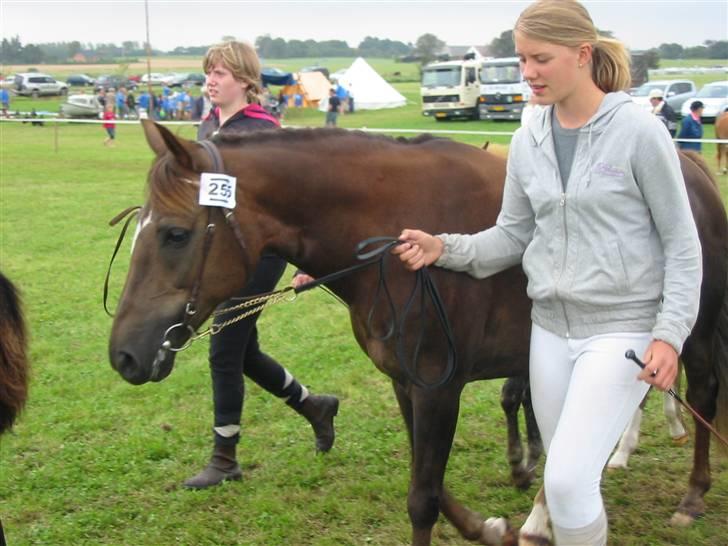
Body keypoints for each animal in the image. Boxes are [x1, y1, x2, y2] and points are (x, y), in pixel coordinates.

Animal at [108, 121, 728, 540]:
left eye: (175, 234)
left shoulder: (438, 387)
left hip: (688, 337)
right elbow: (430, 481)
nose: (124, 355)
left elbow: (422, 498)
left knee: (701, 394)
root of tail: (689, 167)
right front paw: (486, 527)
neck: (393, 240)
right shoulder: (407, 383)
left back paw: (692, 496)